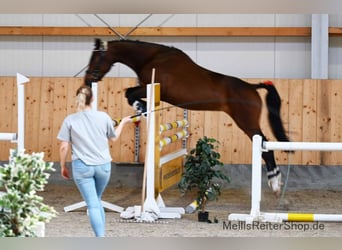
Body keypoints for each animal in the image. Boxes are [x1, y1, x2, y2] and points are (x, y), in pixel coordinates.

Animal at [84, 38, 290, 195]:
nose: (87, 80)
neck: (151, 58)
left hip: (247, 123)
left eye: (95, 57)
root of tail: (252, 88)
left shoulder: (154, 88)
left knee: (265, 145)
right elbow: (129, 93)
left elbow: (130, 94)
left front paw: (141, 107)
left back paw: (274, 181)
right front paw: (142, 108)